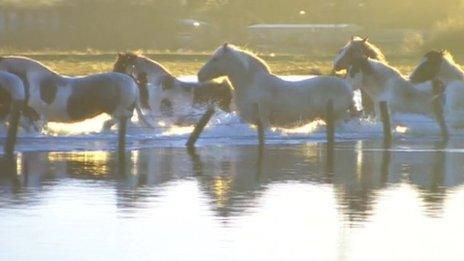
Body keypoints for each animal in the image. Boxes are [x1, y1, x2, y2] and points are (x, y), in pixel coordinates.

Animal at [198, 43, 354, 145]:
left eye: (216, 59)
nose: (199, 75)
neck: (251, 84)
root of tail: (348, 87)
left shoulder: (263, 120)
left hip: (337, 118)